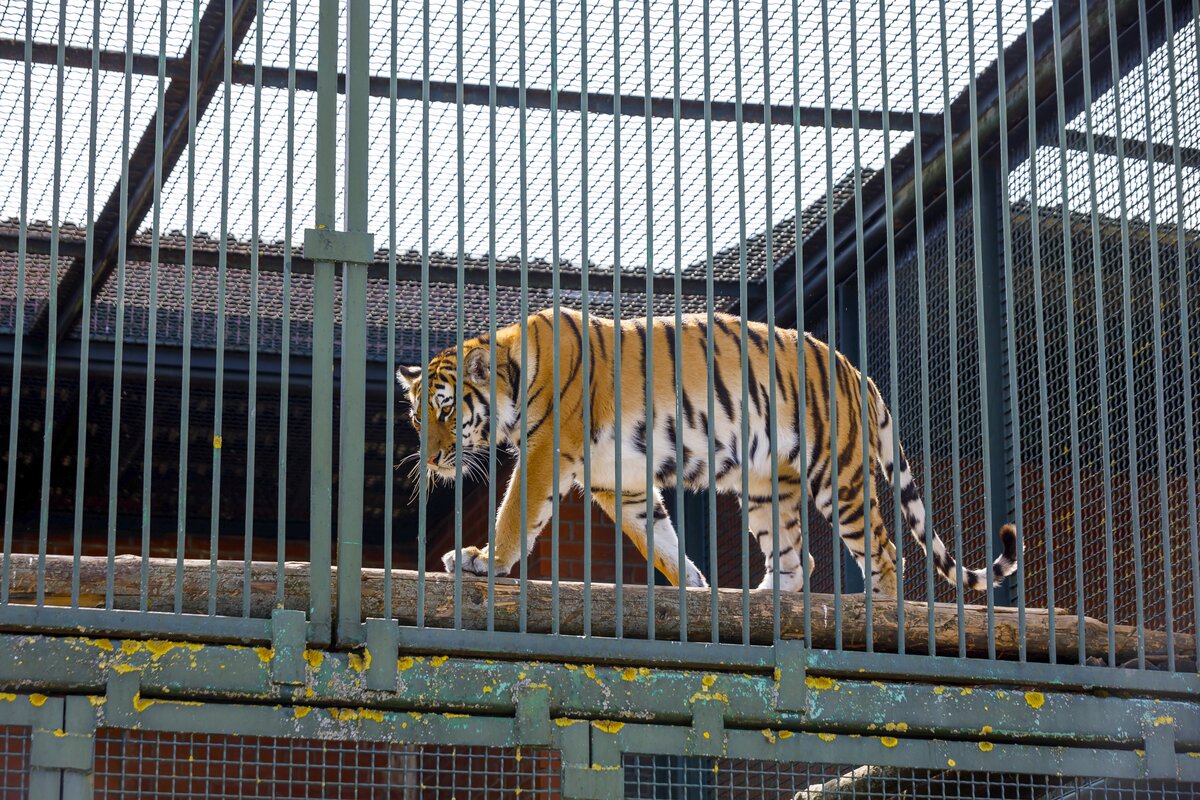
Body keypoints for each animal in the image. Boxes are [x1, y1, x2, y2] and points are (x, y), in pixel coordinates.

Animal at [398, 309, 1017, 597]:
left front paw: (481, 560)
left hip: (835, 473)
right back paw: (763, 598)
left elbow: (513, 514)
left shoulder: (548, 452)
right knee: (798, 560)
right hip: (767, 489)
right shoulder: (620, 482)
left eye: (447, 411)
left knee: (886, 552)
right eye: (417, 418)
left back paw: (883, 613)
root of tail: (857, 374)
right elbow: (659, 539)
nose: (431, 460)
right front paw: (693, 585)